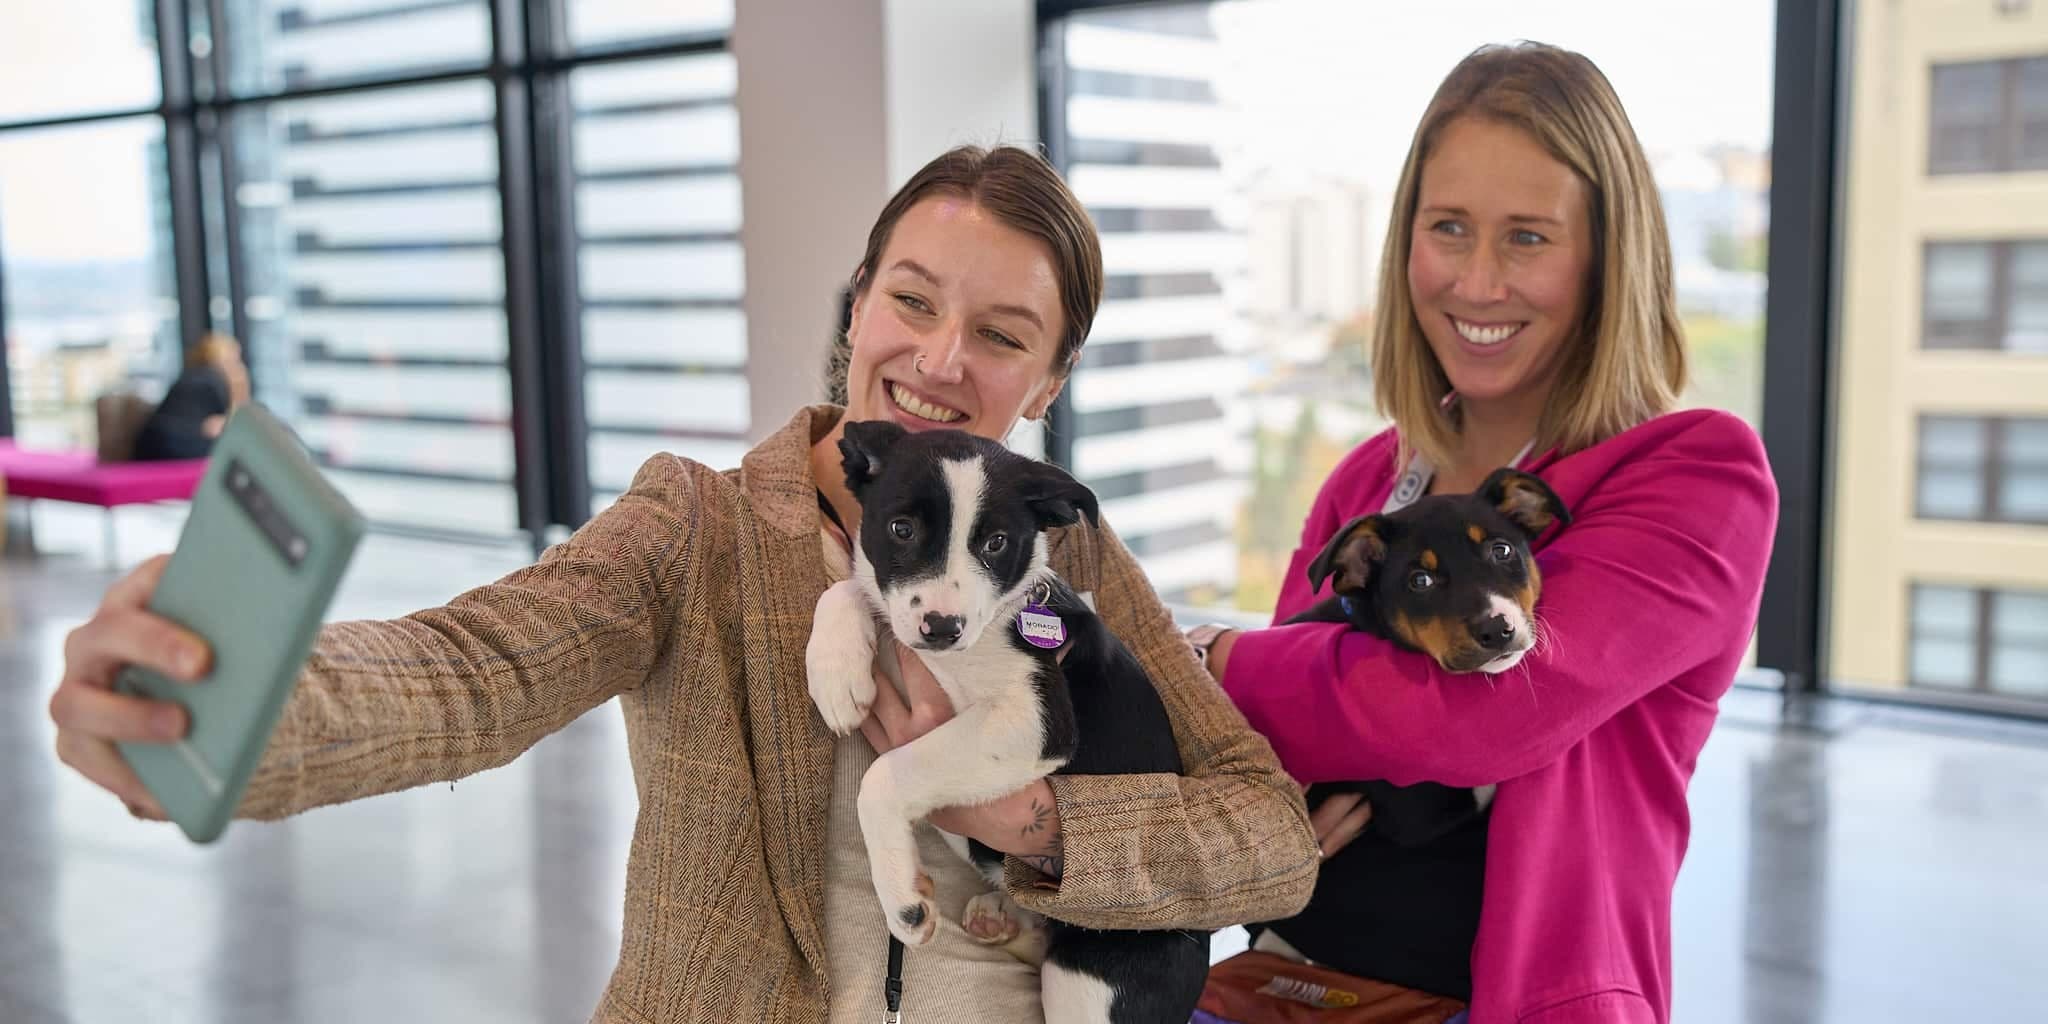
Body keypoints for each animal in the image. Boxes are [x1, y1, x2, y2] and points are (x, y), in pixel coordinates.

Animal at [802, 421, 1212, 1024]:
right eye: (901, 528)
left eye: (996, 543)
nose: (941, 627)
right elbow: (851, 585)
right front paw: (835, 671)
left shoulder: (1036, 719)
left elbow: (884, 776)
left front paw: (902, 898)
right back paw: (1000, 915)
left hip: (1088, 982)